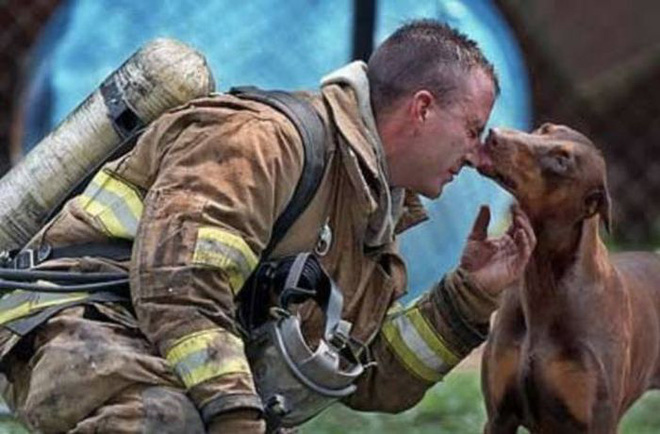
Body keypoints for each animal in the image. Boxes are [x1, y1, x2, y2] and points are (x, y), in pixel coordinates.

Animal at [476, 123, 660, 434]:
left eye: (562, 161)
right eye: (544, 129)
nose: (494, 134)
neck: (543, 282)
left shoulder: (597, 421)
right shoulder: (499, 417)